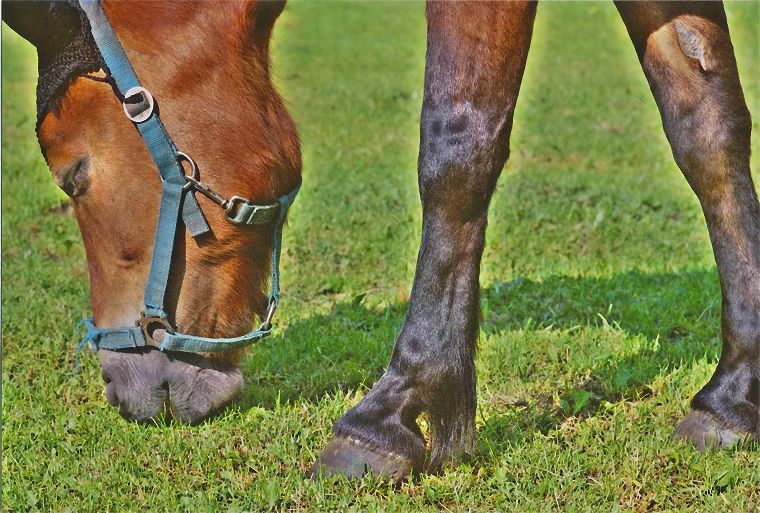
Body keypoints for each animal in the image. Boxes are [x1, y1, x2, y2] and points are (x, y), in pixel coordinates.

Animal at [2, 1, 756, 480]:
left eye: (73, 177)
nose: (119, 384)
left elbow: (457, 145)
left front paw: (394, 410)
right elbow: (708, 130)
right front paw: (734, 393)